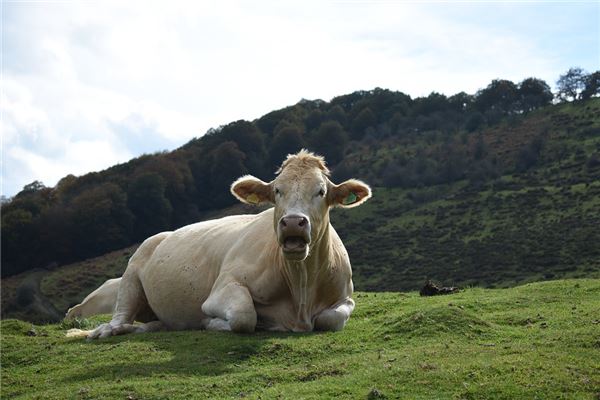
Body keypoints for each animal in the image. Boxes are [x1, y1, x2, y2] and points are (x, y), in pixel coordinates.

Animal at [68, 148, 372, 340]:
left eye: (321, 191)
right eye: (277, 190)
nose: (293, 222)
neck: (301, 291)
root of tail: (160, 235)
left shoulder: (345, 297)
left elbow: (329, 320)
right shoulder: (222, 288)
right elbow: (243, 316)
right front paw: (212, 323)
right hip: (131, 274)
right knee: (119, 316)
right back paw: (105, 330)